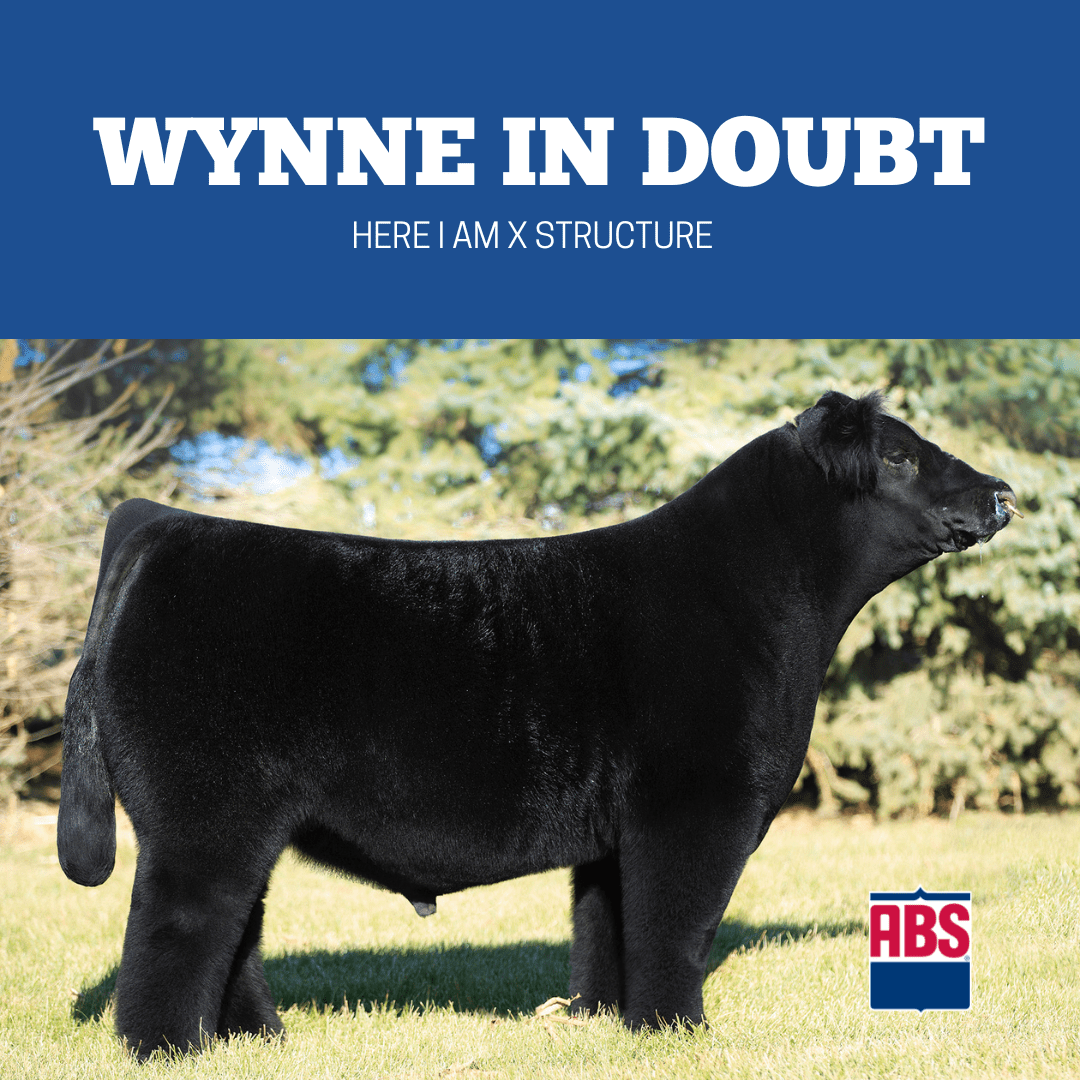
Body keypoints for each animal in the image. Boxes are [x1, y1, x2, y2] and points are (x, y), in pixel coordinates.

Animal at [57, 390, 1018, 1059]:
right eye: (899, 456)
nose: (1002, 491)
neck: (763, 599)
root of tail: (159, 524)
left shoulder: (619, 830)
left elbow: (607, 926)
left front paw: (603, 1021)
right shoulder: (698, 808)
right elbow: (677, 926)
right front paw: (679, 1033)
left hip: (242, 821)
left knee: (237, 930)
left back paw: (256, 1038)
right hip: (202, 817)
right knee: (177, 928)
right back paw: (168, 1050)